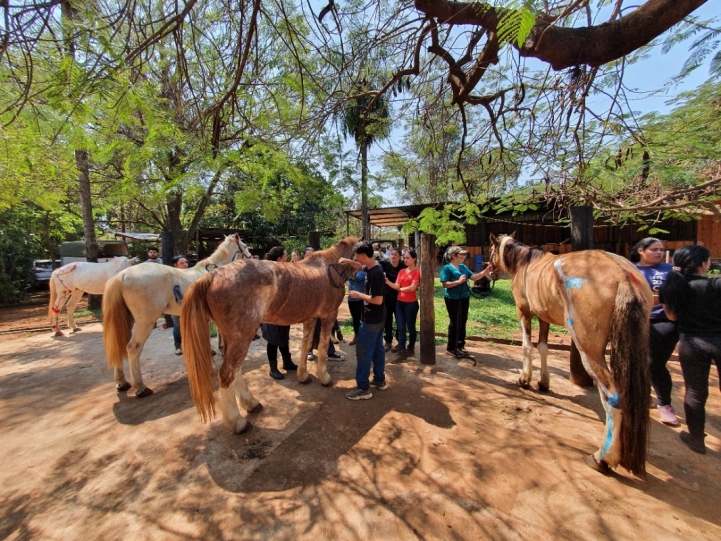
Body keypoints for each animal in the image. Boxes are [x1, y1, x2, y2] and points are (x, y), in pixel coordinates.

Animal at [100, 233, 249, 396]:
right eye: (245, 246)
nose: (251, 256)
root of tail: (121, 276)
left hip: (127, 319)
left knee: (118, 344)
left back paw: (122, 382)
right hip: (145, 321)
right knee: (133, 348)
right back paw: (141, 387)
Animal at [179, 236, 356, 434]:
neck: (330, 267)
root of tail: (212, 276)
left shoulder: (310, 319)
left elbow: (305, 345)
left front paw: (303, 376)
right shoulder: (328, 316)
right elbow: (324, 347)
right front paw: (324, 378)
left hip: (231, 338)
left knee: (235, 371)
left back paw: (251, 403)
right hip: (242, 336)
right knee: (227, 374)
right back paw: (237, 422)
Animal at [490, 232, 652, 476]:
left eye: (491, 251)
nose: (489, 271)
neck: (525, 262)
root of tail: (622, 275)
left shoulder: (524, 311)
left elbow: (528, 346)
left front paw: (525, 380)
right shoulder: (543, 315)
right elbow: (543, 347)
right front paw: (543, 382)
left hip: (588, 348)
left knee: (613, 397)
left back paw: (602, 458)